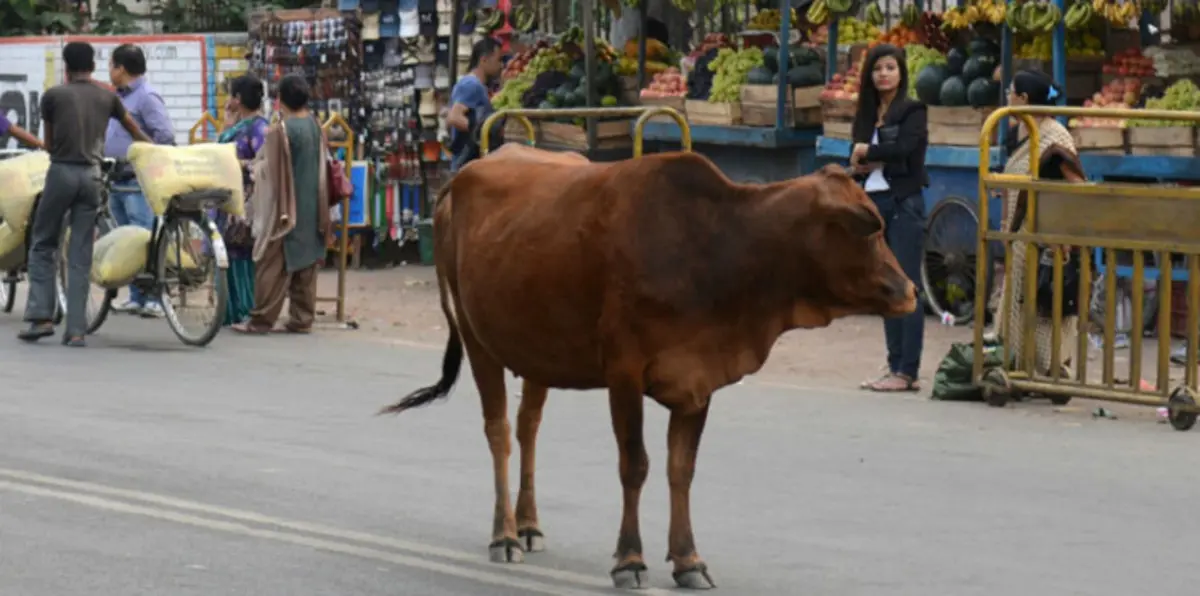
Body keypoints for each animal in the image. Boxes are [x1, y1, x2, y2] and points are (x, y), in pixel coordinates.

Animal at [379, 142, 912, 585]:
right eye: (871, 231)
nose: (908, 291)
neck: (721, 245)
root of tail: (461, 176)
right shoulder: (624, 371)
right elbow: (634, 465)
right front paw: (630, 560)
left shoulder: (698, 380)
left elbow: (682, 469)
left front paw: (688, 559)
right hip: (478, 340)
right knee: (499, 432)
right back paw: (505, 534)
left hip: (535, 348)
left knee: (529, 425)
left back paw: (529, 525)